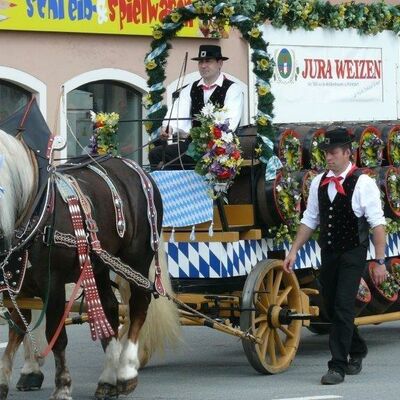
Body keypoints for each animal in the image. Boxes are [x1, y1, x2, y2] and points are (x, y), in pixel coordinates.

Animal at [0, 130, 180, 398]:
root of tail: (135, 166)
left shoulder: (52, 285)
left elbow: (55, 335)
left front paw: (63, 386)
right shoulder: (13, 283)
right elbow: (18, 330)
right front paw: (5, 380)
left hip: (137, 258)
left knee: (139, 305)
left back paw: (126, 371)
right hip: (100, 265)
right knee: (110, 310)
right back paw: (108, 378)